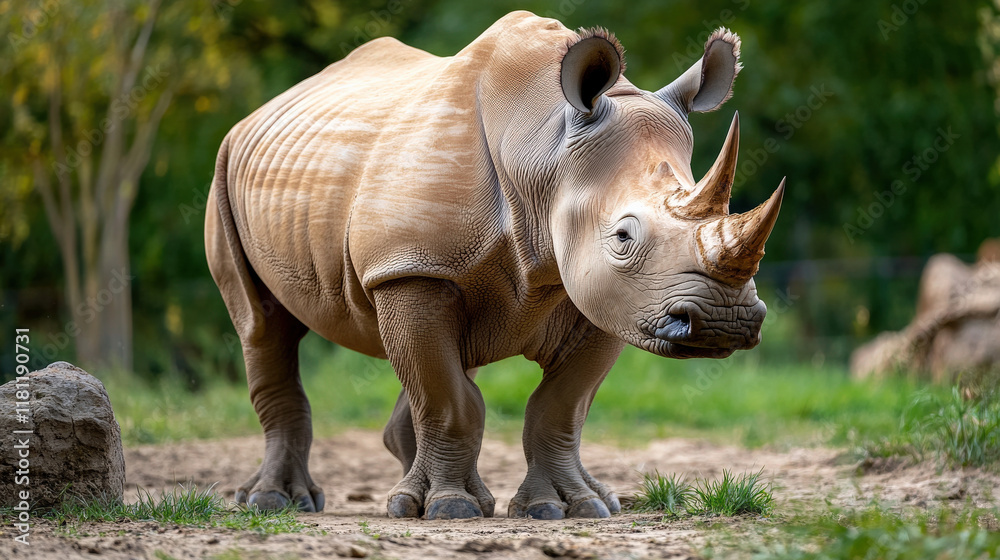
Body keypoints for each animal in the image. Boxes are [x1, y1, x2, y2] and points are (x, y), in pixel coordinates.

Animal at [206, 11, 783, 520]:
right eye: (623, 236)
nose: (723, 322)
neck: (544, 148)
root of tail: (260, 111)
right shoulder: (410, 268)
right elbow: (448, 400)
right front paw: (449, 509)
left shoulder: (617, 297)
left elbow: (560, 406)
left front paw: (573, 507)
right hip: (225, 168)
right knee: (263, 327)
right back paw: (278, 502)